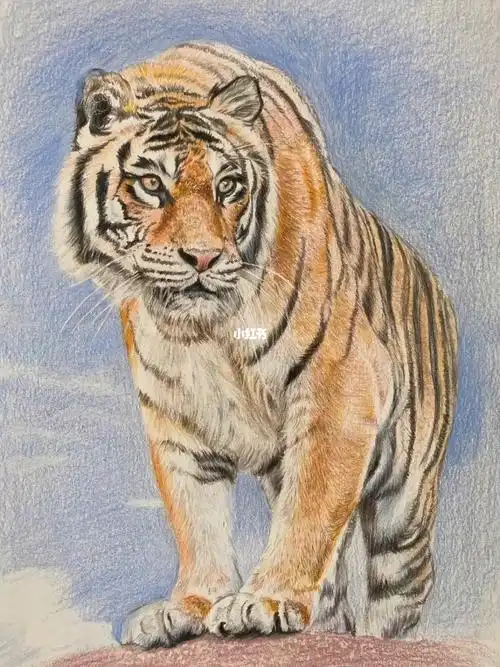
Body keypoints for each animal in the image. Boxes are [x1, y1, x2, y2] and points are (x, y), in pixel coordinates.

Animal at [53, 41, 458, 647]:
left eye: (228, 188)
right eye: (151, 186)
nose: (202, 257)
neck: (203, 332)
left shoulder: (338, 392)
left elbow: (309, 513)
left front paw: (265, 601)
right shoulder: (177, 421)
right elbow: (196, 523)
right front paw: (188, 605)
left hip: (403, 506)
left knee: (398, 588)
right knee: (334, 591)